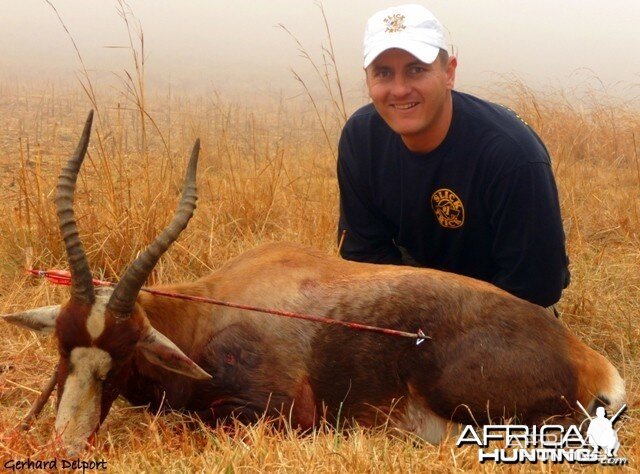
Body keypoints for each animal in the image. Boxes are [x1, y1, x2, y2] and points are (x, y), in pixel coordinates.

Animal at [1, 109, 624, 454]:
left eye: (124, 352)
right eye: (64, 349)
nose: (67, 446)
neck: (212, 308)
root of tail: (589, 362)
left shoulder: (273, 414)